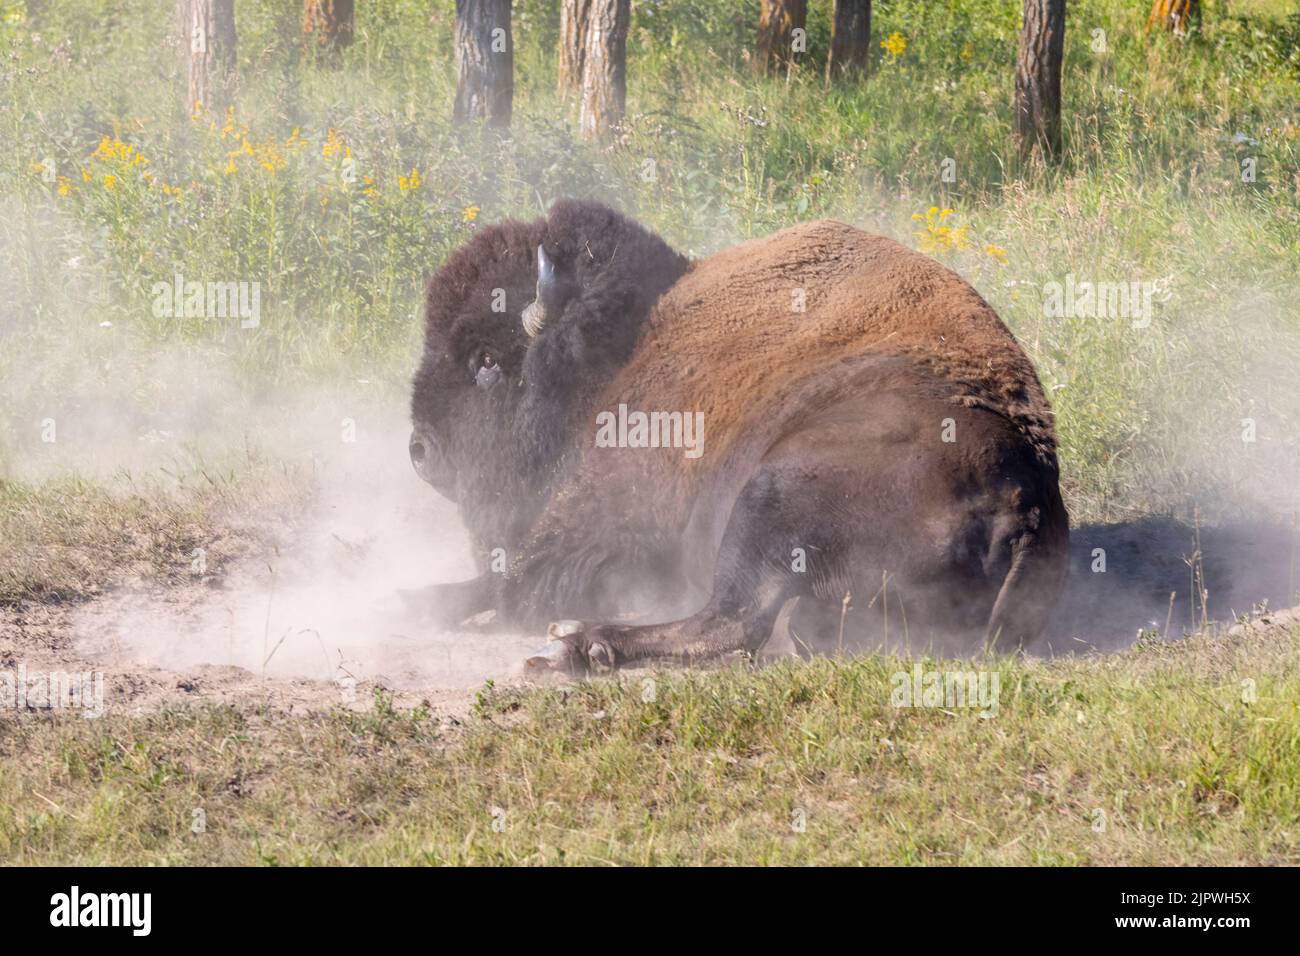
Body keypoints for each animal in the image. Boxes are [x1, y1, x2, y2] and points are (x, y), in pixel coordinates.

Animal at [410, 200, 1071, 671]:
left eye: (486, 361)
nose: (419, 450)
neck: (625, 343)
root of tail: (1024, 498)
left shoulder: (604, 508)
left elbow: (510, 581)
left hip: (768, 494)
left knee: (733, 619)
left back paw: (577, 644)